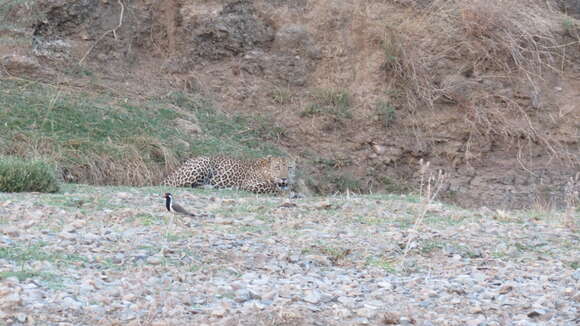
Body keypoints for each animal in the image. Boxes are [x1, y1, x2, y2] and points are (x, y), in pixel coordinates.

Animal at [162, 155, 294, 194]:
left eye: (290, 168)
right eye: (277, 167)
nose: (284, 178)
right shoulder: (250, 184)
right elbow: (272, 188)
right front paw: (287, 193)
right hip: (203, 163)